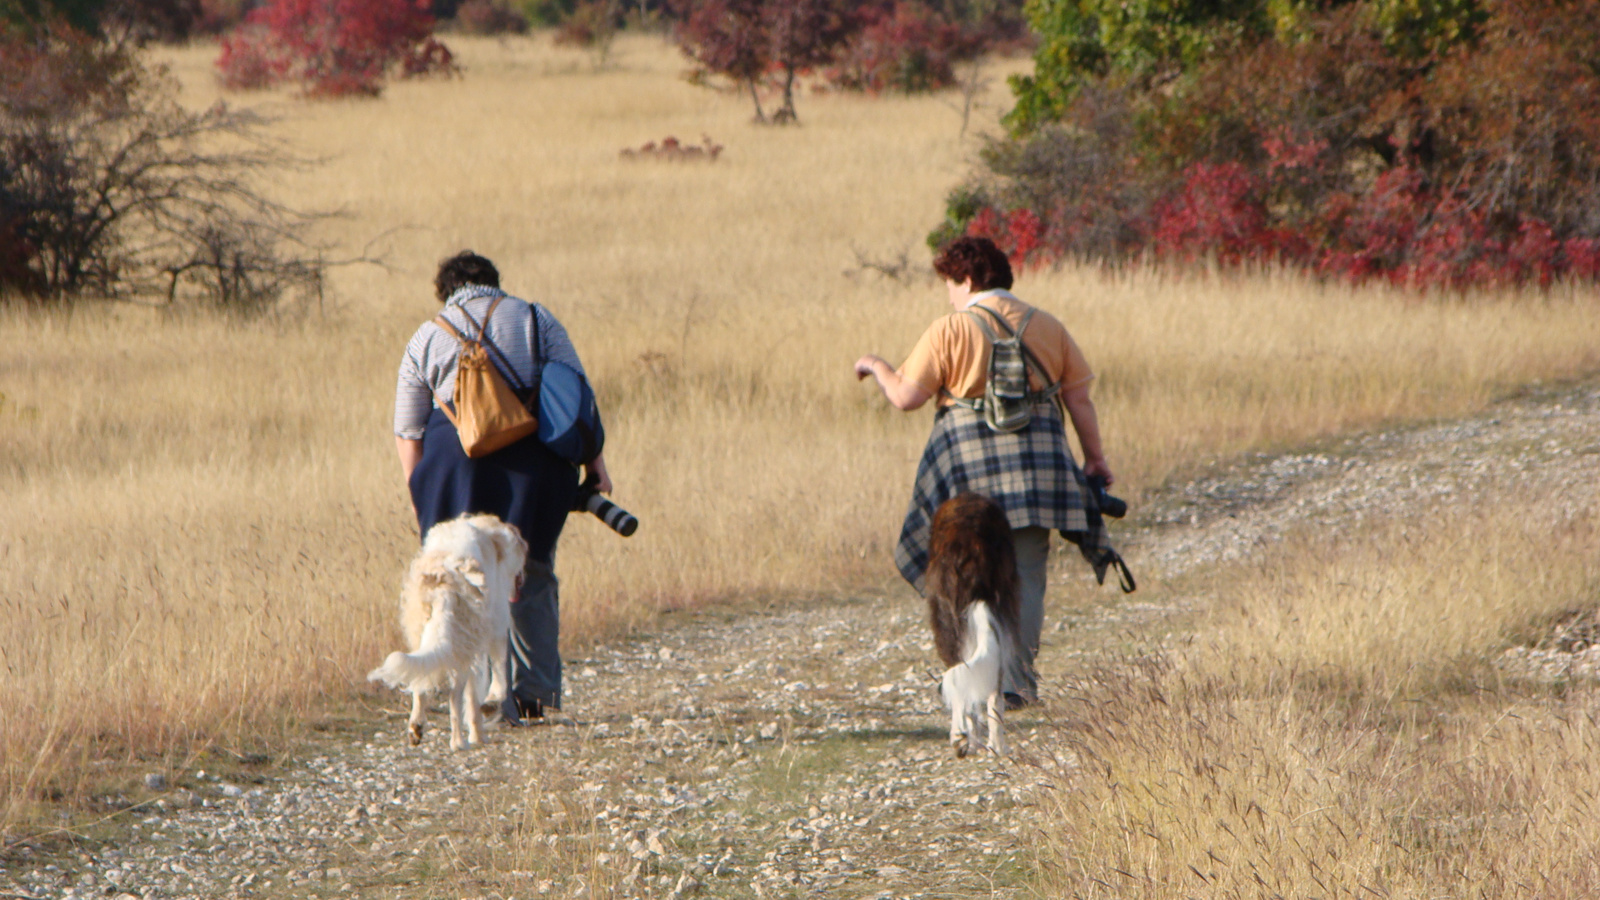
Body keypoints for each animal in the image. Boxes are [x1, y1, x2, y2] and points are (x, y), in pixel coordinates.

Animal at [366, 512, 528, 749]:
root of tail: (443, 580)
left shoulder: (471, 646)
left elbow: (472, 697)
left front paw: (477, 733)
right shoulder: (496, 627)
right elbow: (498, 677)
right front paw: (489, 708)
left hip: (430, 637)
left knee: (421, 685)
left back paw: (416, 729)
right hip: (460, 645)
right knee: (454, 696)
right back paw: (458, 742)